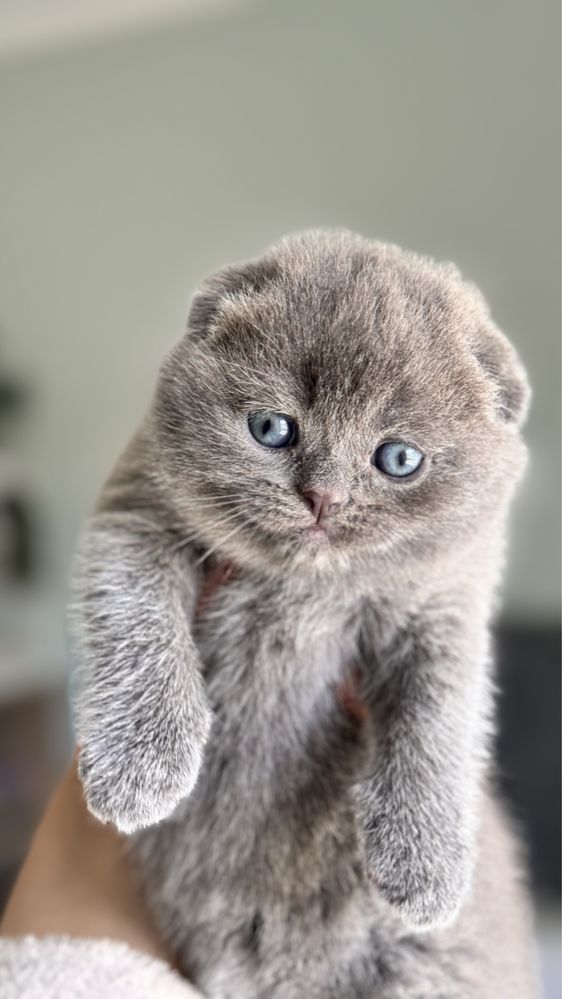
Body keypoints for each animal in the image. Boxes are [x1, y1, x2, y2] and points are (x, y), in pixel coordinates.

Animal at [72, 230, 536, 996]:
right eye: (272, 427)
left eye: (398, 458)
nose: (324, 497)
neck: (300, 590)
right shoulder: (136, 515)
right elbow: (138, 623)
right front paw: (140, 765)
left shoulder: (446, 607)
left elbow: (441, 716)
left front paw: (427, 863)